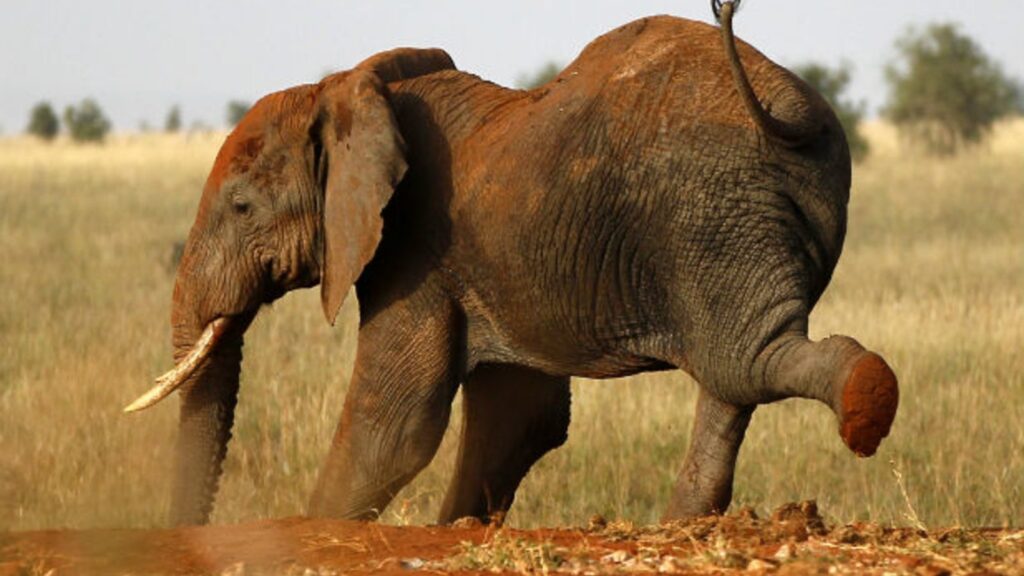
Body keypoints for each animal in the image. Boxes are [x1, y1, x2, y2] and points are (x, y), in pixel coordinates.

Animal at [125, 2, 897, 524]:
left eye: (241, 208)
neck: (345, 90)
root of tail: (790, 107)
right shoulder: (482, 264)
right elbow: (520, 416)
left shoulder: (414, 246)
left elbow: (394, 425)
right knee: (731, 374)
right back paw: (685, 524)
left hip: (711, 213)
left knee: (743, 360)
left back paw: (866, 404)